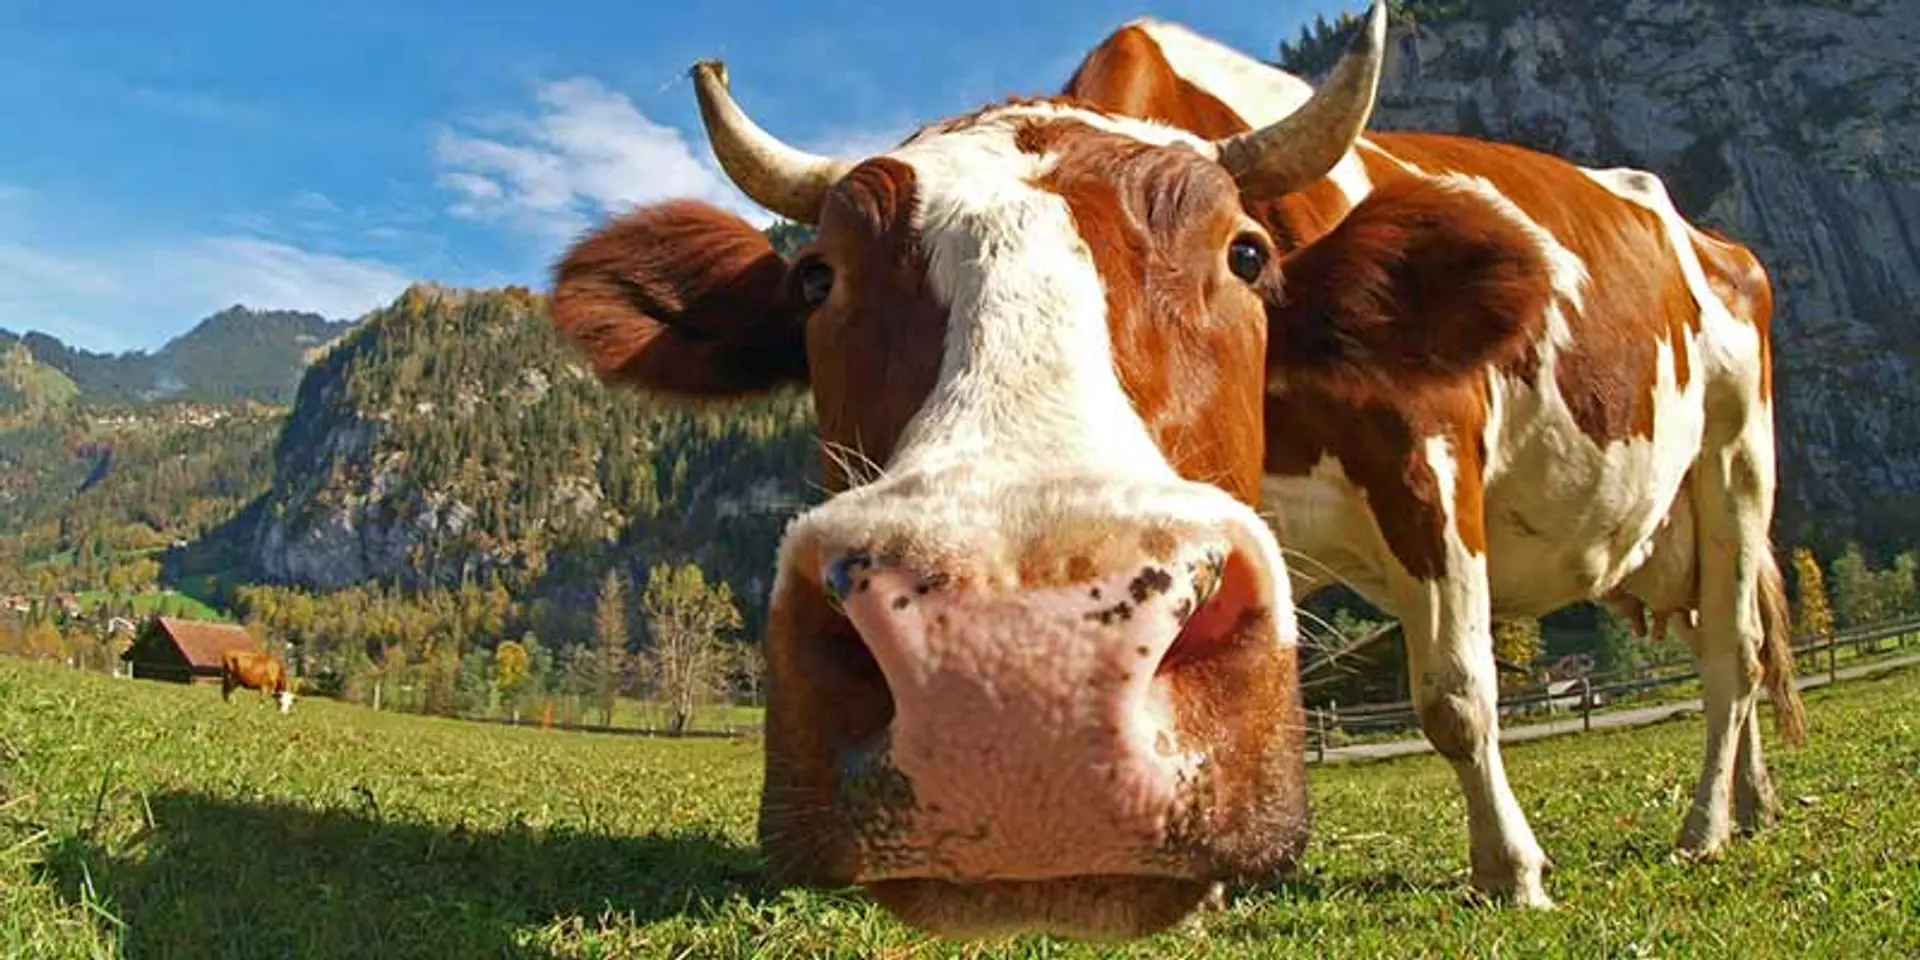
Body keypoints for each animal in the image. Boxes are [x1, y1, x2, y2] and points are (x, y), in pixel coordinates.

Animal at [546, 1, 1801, 939]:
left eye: (1245, 254)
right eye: (817, 279)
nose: (1017, 669)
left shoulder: (1430, 455)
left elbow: (1455, 694)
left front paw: (1510, 872)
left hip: (1738, 457)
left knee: (1734, 652)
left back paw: (1704, 827)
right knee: (1720, 642)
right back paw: (1754, 802)